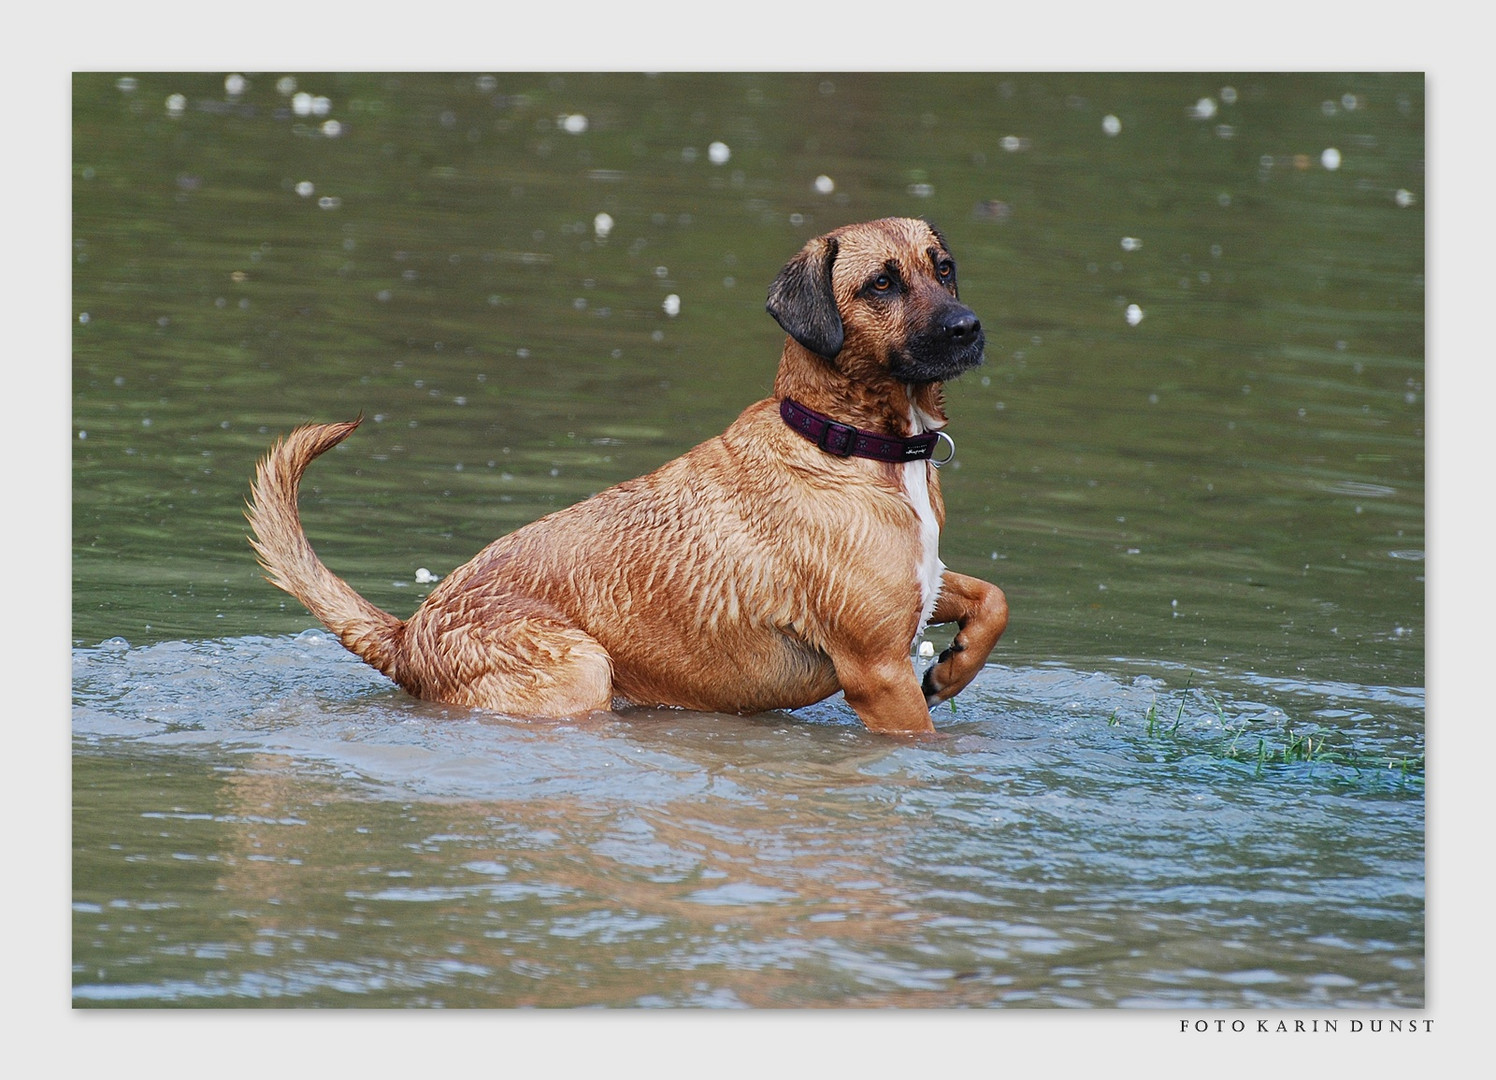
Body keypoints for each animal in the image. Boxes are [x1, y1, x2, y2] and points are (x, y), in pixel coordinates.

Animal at [251, 216, 1011, 732]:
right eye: (881, 283)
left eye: (943, 267)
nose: (969, 328)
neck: (849, 444)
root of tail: (407, 636)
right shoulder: (877, 671)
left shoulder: (918, 588)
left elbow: (992, 597)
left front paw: (954, 664)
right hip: (584, 673)